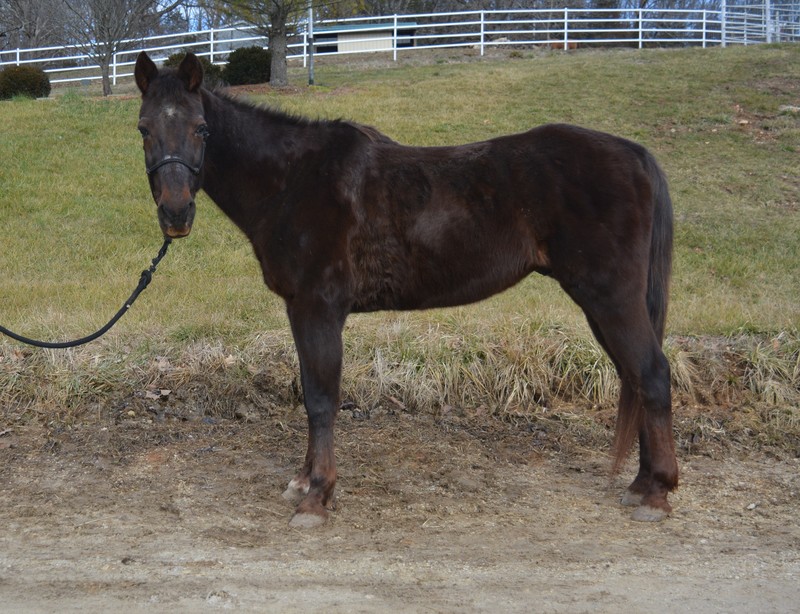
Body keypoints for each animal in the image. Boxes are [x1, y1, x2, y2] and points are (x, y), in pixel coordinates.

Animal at [134, 50, 680, 528]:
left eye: (201, 128)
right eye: (143, 129)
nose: (176, 213)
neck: (293, 180)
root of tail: (634, 154)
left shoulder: (319, 308)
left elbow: (321, 398)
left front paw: (317, 497)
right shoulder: (300, 310)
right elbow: (310, 392)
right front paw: (304, 480)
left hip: (610, 297)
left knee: (652, 373)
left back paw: (658, 492)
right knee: (635, 375)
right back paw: (641, 484)